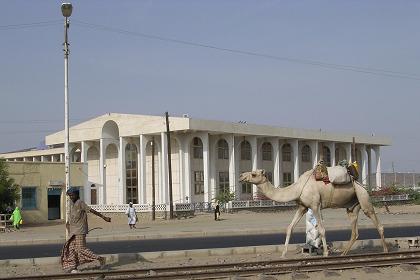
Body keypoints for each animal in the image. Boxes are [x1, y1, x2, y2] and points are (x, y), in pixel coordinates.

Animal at [238, 170, 388, 258]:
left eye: (254, 174)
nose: (240, 176)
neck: (297, 188)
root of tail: (360, 185)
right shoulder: (303, 207)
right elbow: (290, 228)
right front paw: (283, 254)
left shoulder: (315, 206)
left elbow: (321, 229)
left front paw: (326, 253)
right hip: (352, 206)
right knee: (354, 230)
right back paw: (344, 253)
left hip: (363, 198)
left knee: (377, 222)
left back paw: (386, 251)